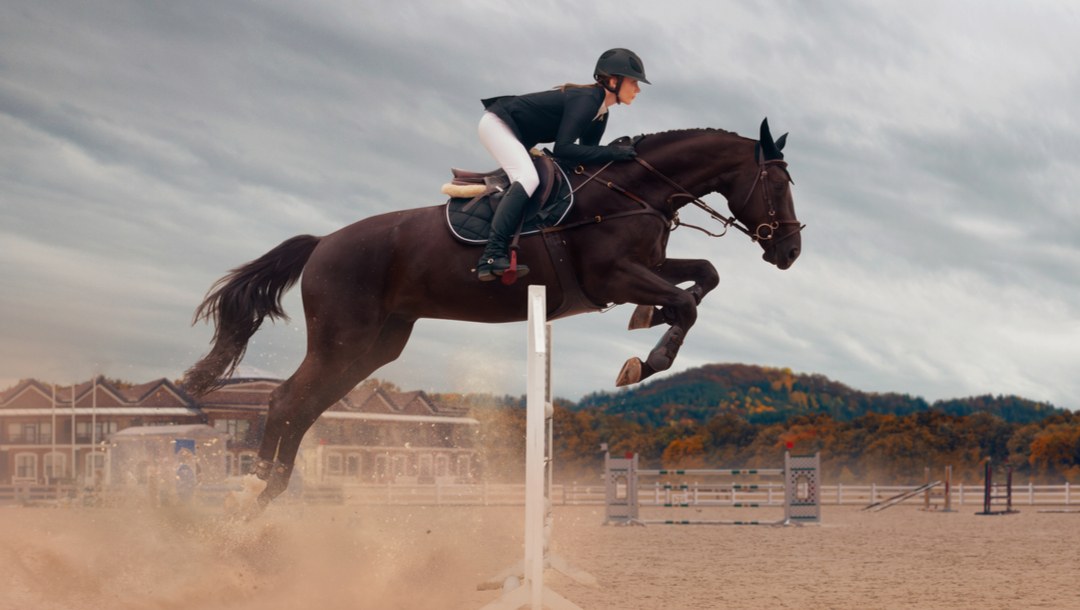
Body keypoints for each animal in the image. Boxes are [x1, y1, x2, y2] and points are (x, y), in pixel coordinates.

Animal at [183, 118, 802, 510]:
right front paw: (644, 362)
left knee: (306, 406)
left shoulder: (647, 265)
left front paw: (646, 326)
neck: (633, 190)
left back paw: (268, 493)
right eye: (777, 182)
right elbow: (686, 303)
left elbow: (704, 277)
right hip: (343, 338)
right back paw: (256, 490)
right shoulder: (612, 276)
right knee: (287, 401)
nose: (791, 251)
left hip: (376, 345)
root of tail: (322, 243)